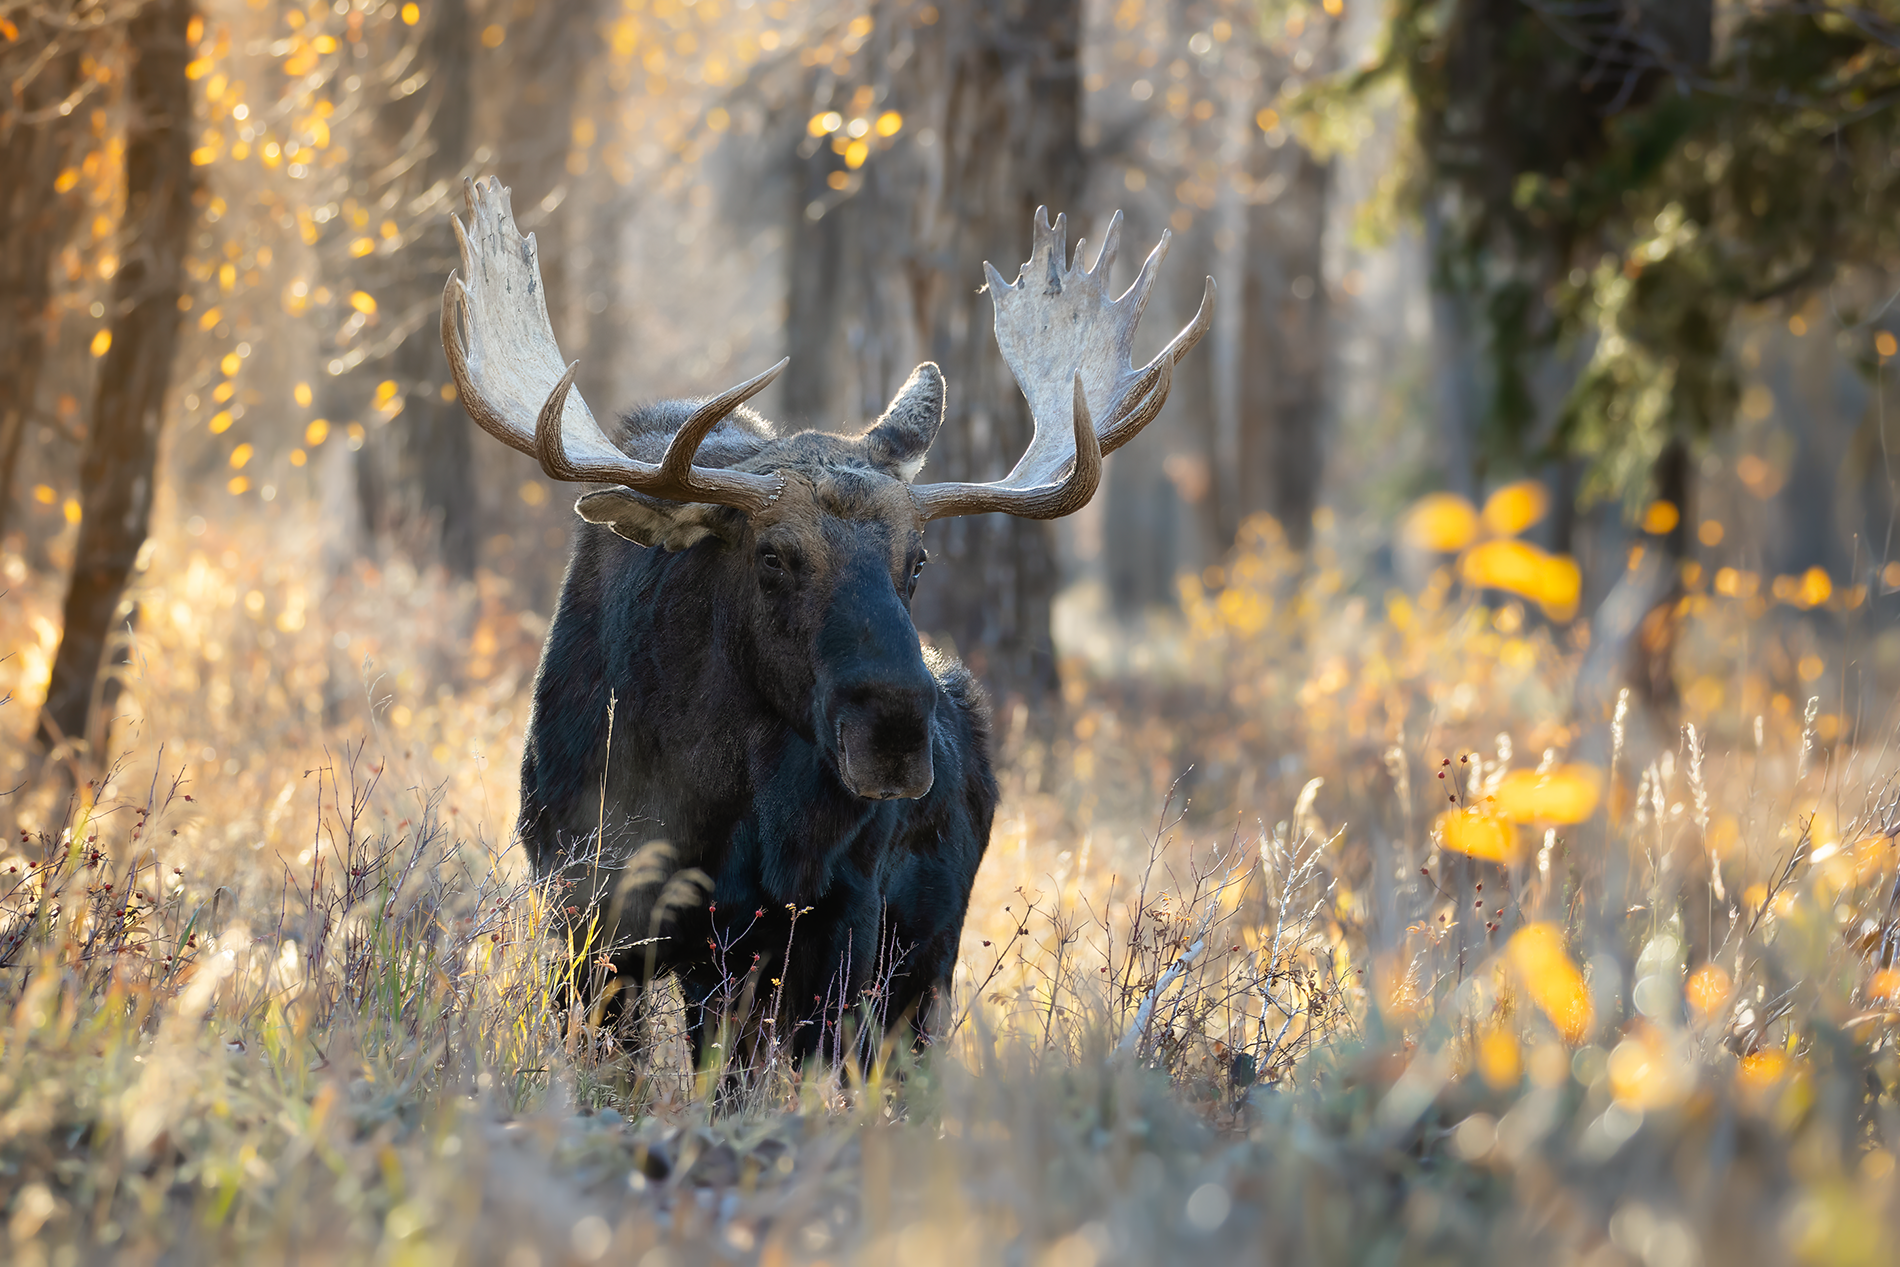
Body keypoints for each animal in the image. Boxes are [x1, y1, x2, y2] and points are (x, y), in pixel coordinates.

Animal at [441, 176, 1211, 1067]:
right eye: (773, 555)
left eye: (919, 560)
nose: (895, 733)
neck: (697, 789)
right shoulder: (583, 908)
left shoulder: (817, 926)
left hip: (921, 961)